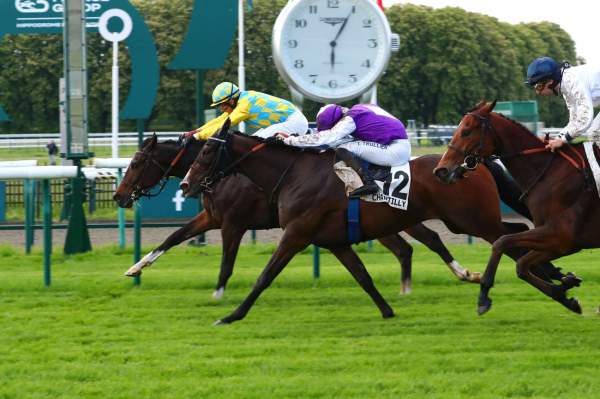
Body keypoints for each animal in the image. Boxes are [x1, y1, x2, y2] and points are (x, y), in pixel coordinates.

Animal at [111, 136, 478, 298]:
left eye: (137, 163)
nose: (118, 196)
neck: (229, 173)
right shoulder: (212, 218)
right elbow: (173, 237)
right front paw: (135, 268)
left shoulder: (233, 223)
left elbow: (227, 263)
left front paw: (219, 295)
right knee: (409, 247)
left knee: (427, 240)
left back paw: (461, 274)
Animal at [180, 119, 564, 324]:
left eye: (207, 151)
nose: (185, 184)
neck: (294, 174)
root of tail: (474, 163)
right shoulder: (334, 242)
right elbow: (363, 277)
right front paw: (388, 311)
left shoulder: (296, 234)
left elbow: (264, 277)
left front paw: (232, 315)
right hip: (465, 221)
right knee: (514, 234)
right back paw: (555, 275)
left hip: (472, 220)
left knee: (509, 237)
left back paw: (553, 279)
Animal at [434, 100, 588, 316]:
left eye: (466, 131)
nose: (441, 170)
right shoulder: (556, 237)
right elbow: (514, 253)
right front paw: (565, 288)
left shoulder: (562, 235)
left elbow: (505, 246)